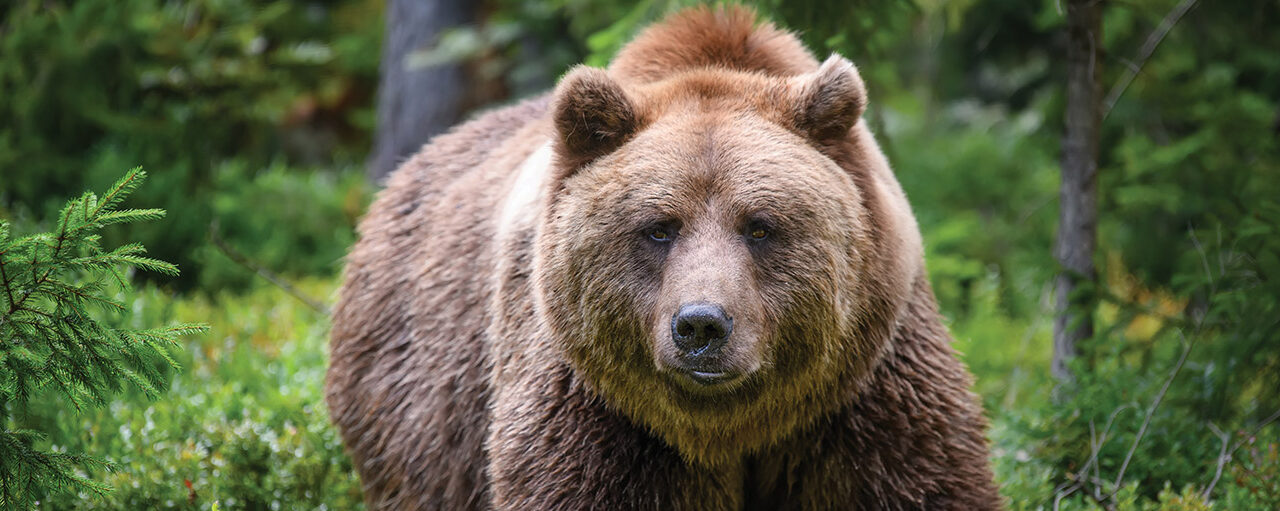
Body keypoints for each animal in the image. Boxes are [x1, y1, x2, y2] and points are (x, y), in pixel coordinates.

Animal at [325, 5, 1003, 511]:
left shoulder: (864, 387)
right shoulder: (599, 409)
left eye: (760, 226)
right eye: (658, 229)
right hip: (415, 401)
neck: (731, 425)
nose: (701, 325)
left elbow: (917, 477)